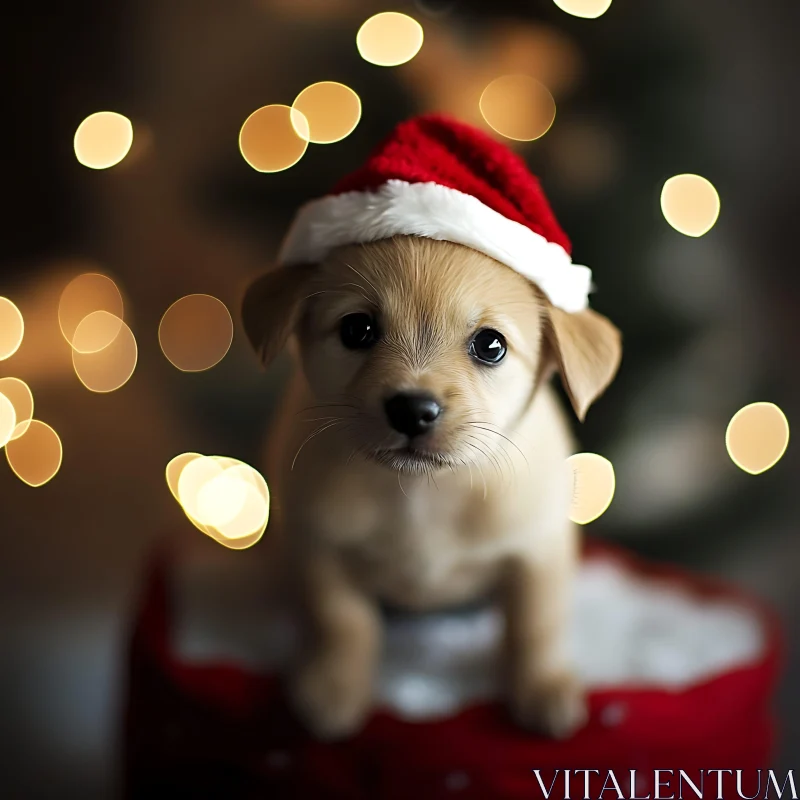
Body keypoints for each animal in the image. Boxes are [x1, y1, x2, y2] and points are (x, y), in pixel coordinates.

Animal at [241, 234, 620, 740]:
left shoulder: (539, 551)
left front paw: (542, 685)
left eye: (491, 345)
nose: (412, 410)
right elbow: (342, 622)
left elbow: (535, 624)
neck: (422, 492)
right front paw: (335, 686)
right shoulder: (317, 548)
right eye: (357, 329)